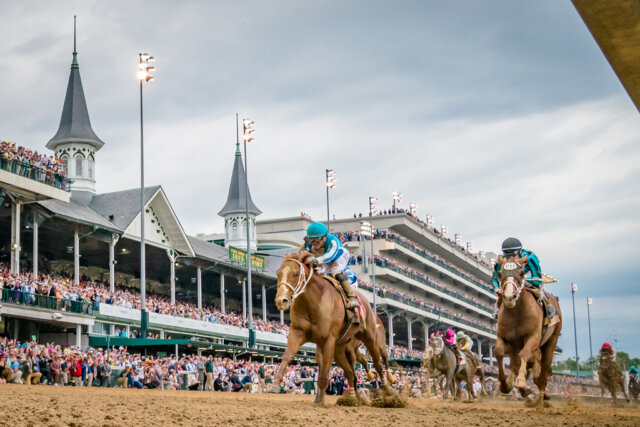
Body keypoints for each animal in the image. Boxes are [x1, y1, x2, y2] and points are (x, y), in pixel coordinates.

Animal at [272, 252, 392, 406]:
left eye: (296, 273)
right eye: (278, 273)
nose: (281, 301)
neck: (313, 301)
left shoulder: (328, 339)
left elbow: (325, 371)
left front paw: (320, 401)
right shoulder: (297, 333)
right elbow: (287, 355)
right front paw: (276, 383)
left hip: (369, 339)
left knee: (377, 363)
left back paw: (388, 389)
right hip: (340, 348)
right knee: (351, 373)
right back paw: (352, 398)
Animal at [492, 256, 564, 410]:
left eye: (521, 273)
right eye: (500, 274)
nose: (509, 297)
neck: (516, 313)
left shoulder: (533, 337)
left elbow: (525, 355)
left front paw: (520, 381)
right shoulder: (504, 338)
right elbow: (499, 353)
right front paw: (505, 385)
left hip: (550, 343)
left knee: (543, 373)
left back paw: (541, 401)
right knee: (523, 367)